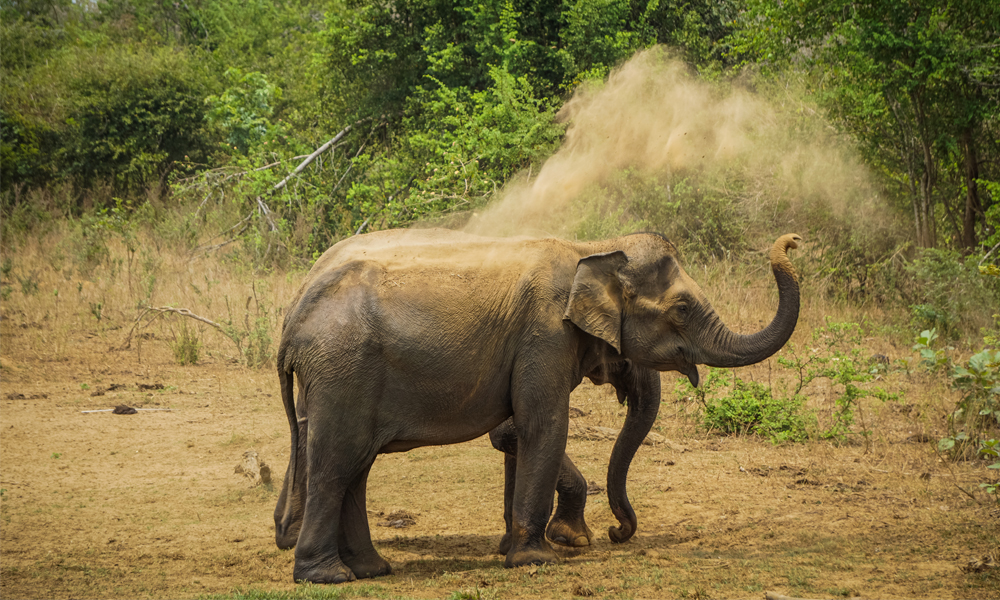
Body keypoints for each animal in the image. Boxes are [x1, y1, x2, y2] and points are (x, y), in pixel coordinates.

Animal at [270, 227, 800, 584]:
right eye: (683, 310)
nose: (617, 533)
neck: (591, 248)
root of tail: (292, 319)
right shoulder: (544, 336)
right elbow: (540, 425)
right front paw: (542, 556)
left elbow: (520, 432)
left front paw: (525, 545)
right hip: (343, 372)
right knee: (338, 461)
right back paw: (326, 575)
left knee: (356, 465)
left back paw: (372, 569)